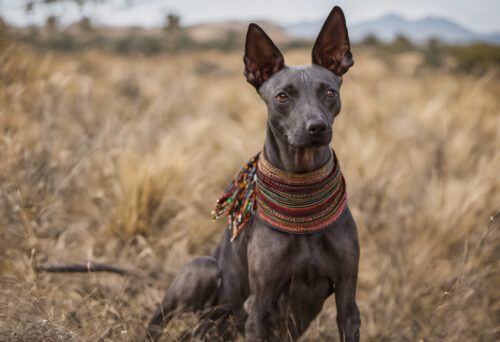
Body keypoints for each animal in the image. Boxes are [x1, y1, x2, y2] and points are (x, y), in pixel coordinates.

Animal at [146, 5, 362, 342]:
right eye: (282, 96)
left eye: (329, 92)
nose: (317, 128)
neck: (301, 189)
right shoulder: (259, 304)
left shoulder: (348, 302)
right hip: (202, 269)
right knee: (158, 319)